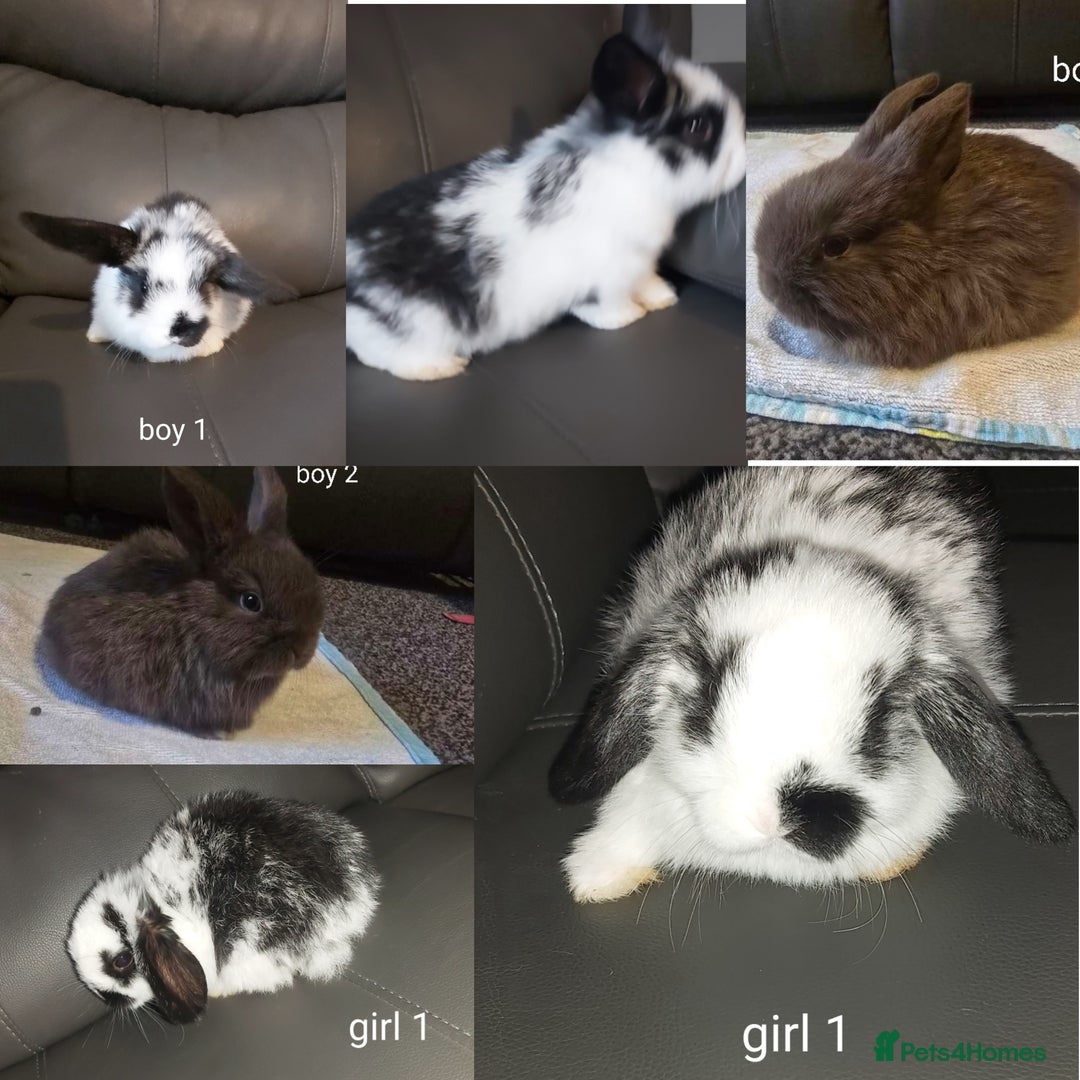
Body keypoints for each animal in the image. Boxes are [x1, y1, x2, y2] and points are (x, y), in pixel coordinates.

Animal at [346, 10, 745, 380]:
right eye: (698, 127)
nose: (744, 160)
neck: (633, 170)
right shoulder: (607, 274)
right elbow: (605, 304)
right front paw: (627, 317)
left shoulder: (642, 261)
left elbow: (646, 280)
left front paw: (663, 297)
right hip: (417, 321)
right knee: (382, 354)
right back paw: (442, 368)